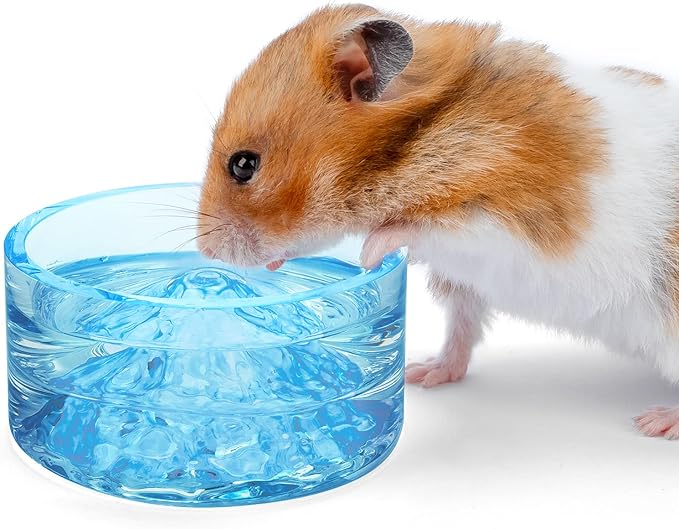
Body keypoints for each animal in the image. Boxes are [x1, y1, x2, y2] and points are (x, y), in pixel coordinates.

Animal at [197, 4, 679, 439]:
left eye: (244, 165)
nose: (204, 251)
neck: (417, 137)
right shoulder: (466, 277)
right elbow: (462, 323)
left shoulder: (509, 220)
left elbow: (419, 228)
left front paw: (368, 256)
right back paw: (424, 372)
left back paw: (654, 423)